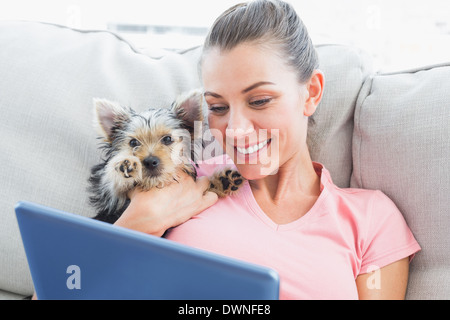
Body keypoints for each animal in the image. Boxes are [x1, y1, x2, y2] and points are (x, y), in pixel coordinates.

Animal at [87, 90, 243, 224]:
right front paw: (125, 166)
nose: (150, 161)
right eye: (133, 143)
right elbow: (110, 184)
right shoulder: (108, 199)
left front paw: (221, 181)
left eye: (167, 139)